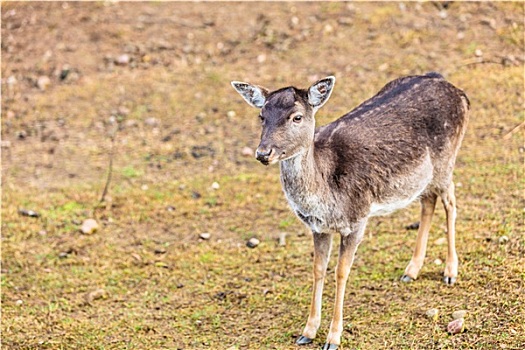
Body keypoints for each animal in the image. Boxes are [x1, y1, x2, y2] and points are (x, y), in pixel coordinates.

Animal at [231, 72, 468, 350]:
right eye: (261, 115)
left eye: (297, 117)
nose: (263, 152)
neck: (327, 194)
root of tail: (457, 91)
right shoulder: (318, 228)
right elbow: (318, 269)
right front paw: (307, 331)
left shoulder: (357, 219)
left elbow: (341, 272)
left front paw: (333, 338)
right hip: (424, 177)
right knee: (427, 201)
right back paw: (411, 271)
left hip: (446, 161)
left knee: (450, 200)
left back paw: (450, 272)